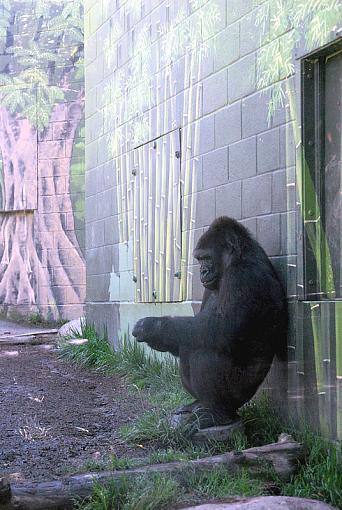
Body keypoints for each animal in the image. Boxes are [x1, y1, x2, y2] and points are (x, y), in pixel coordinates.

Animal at [132, 217, 288, 428]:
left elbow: (220, 331)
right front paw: (157, 338)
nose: (202, 271)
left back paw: (218, 412)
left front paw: (154, 327)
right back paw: (198, 404)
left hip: (241, 396)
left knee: (205, 346)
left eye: (206, 258)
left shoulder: (243, 276)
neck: (239, 257)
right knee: (189, 343)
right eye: (199, 260)